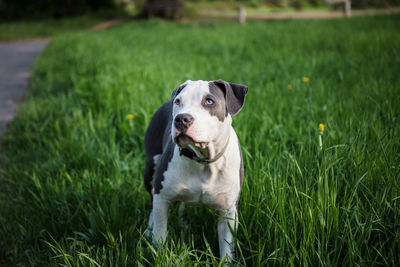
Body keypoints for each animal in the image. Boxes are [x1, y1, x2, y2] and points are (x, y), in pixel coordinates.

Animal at [144, 79, 248, 260]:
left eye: (209, 101)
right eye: (178, 101)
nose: (181, 118)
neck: (204, 161)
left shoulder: (229, 213)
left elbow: (227, 249)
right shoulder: (162, 197)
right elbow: (160, 234)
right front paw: (158, 254)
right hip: (151, 168)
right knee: (152, 201)